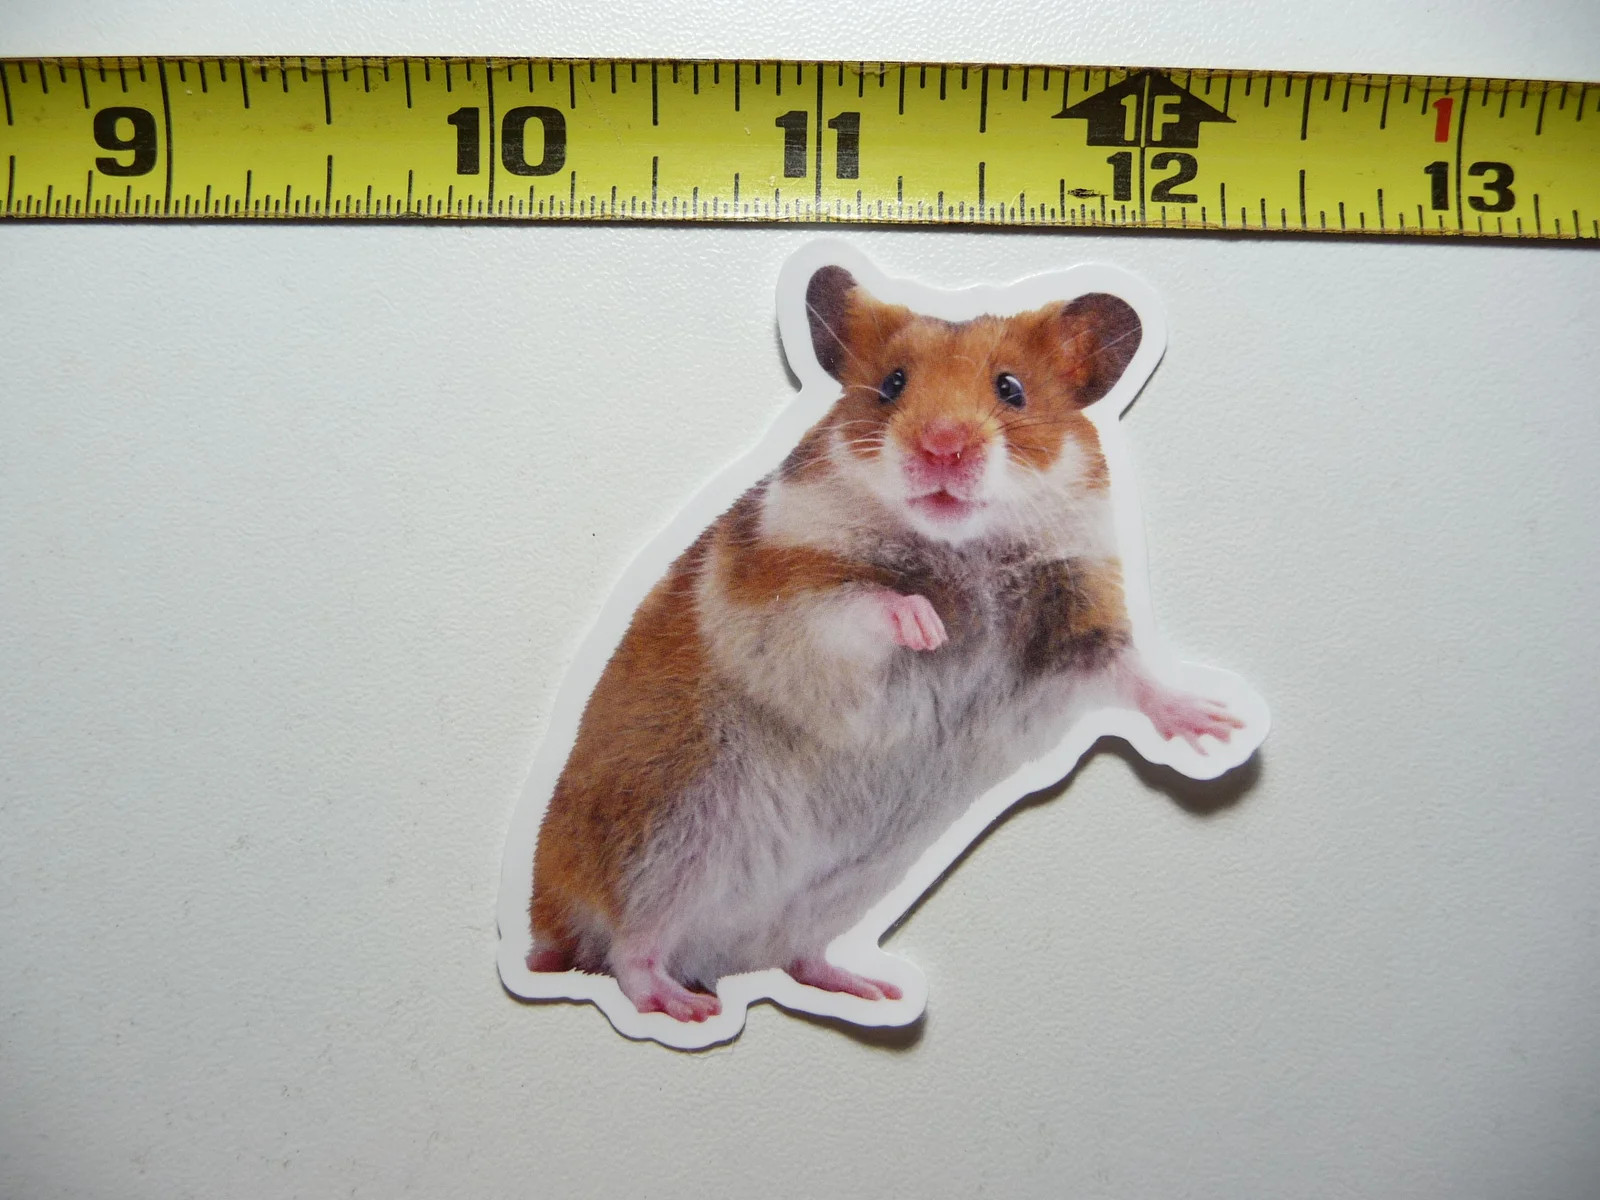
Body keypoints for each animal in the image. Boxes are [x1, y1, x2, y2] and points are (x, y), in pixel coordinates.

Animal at [524, 264, 1242, 1023]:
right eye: (892, 383)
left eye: (1011, 389)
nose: (943, 446)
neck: (964, 548)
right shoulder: (786, 596)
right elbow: (865, 602)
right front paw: (929, 626)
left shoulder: (1078, 623)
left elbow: (1132, 673)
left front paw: (1218, 726)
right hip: (665, 836)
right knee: (628, 948)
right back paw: (685, 1006)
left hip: (841, 886)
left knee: (795, 956)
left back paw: (873, 988)